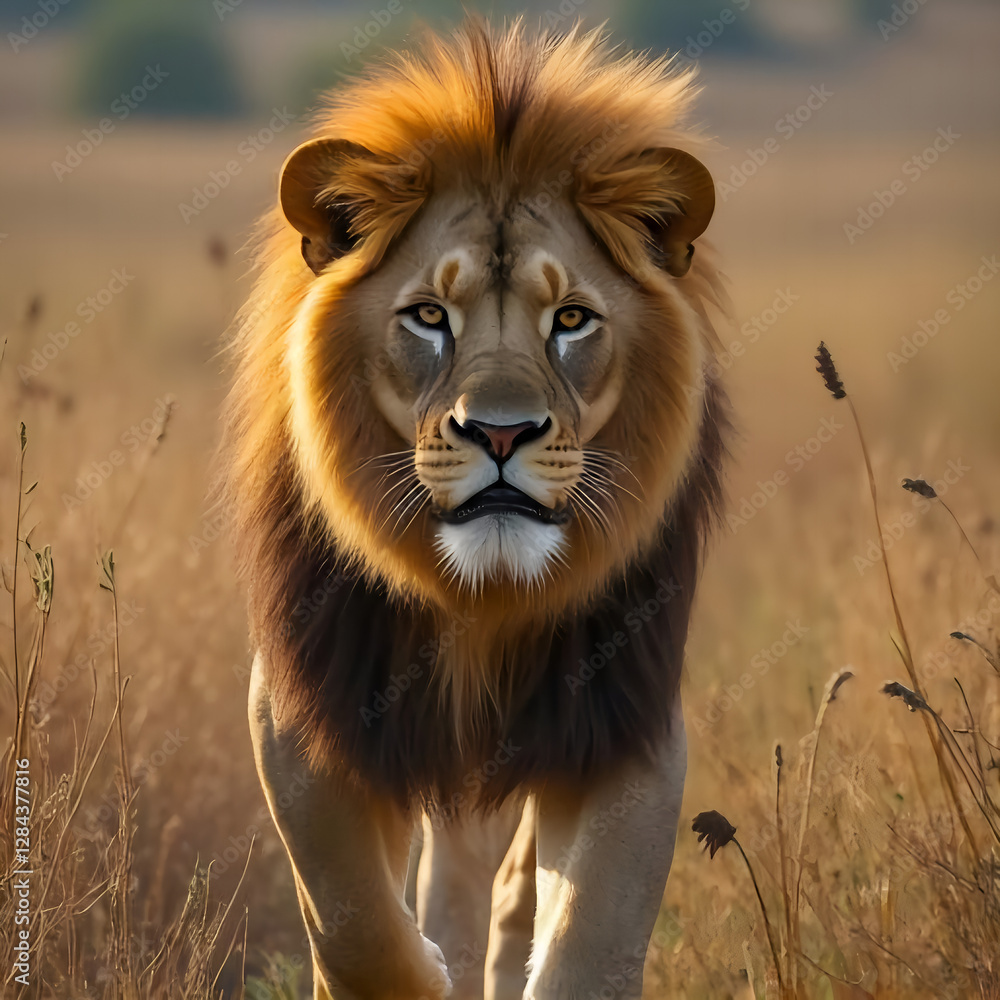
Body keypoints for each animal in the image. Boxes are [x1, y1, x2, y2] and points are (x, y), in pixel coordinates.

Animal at [221, 19, 729, 1000]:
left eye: (570, 319)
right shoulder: (305, 715)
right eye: (428, 316)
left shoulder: (626, 725)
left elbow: (592, 941)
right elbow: (354, 925)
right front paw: (421, 969)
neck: (479, 600)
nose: (500, 432)